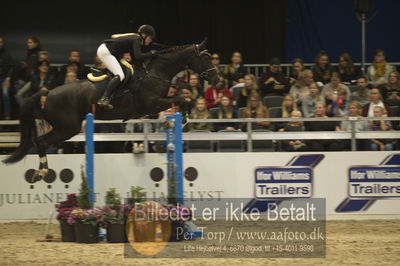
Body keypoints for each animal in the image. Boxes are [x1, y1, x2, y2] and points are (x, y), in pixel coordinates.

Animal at [3, 38, 220, 179]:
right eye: (206, 58)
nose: (218, 80)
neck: (155, 72)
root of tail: (47, 93)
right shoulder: (152, 103)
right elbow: (182, 99)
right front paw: (181, 120)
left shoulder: (155, 105)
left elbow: (178, 101)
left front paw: (173, 122)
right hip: (68, 128)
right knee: (40, 141)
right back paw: (42, 171)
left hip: (66, 127)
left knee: (41, 141)